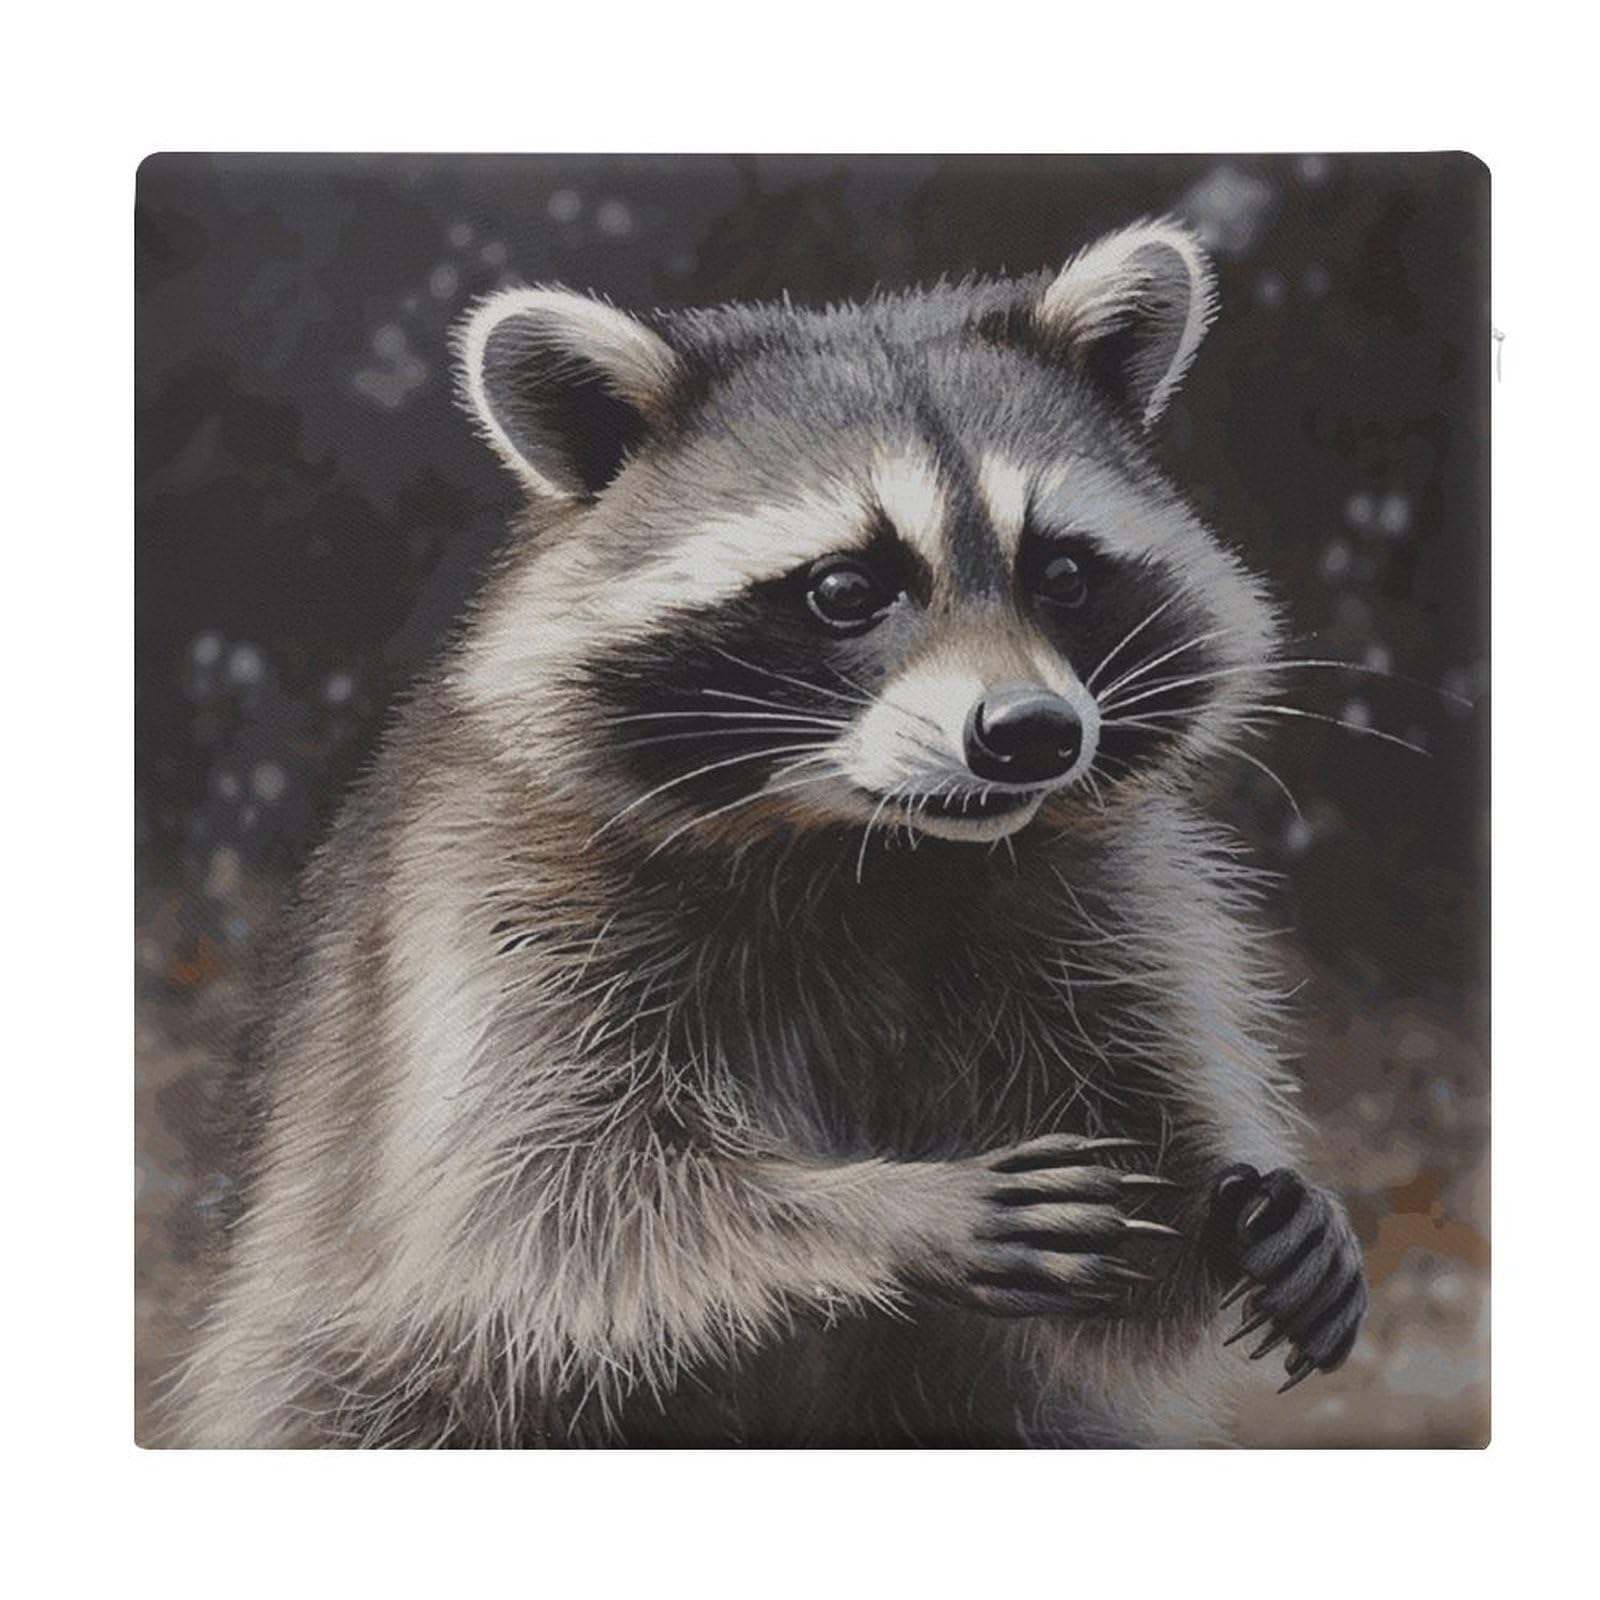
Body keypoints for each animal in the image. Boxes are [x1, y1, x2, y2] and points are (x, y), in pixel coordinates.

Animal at [170, 217, 1367, 1448]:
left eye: (1065, 572)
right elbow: (533, 1203)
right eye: (846, 588)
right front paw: (884, 1208)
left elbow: (1133, 1219)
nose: (1033, 733)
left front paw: (1242, 1204)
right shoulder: (493, 897)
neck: (869, 846)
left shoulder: (1098, 899)